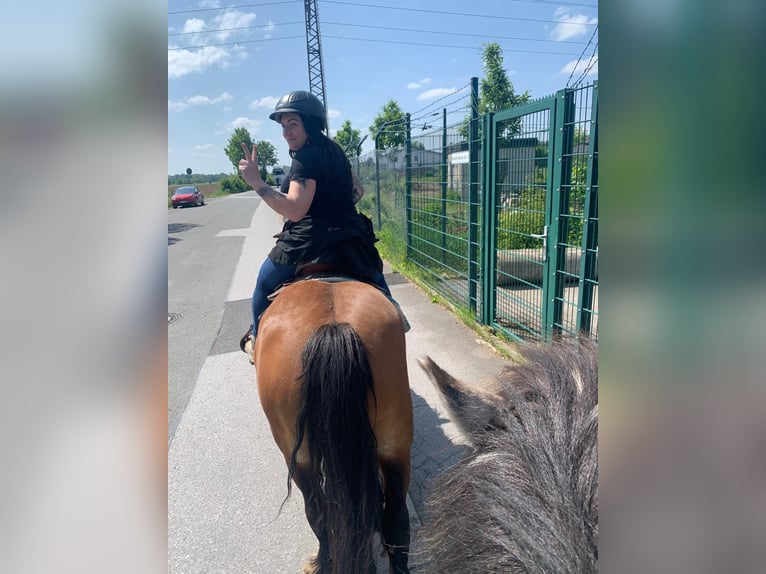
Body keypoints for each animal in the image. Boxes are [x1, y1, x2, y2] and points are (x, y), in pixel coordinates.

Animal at [255, 276, 414, 572]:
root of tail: (334, 328)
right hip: (395, 445)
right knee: (396, 516)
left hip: (297, 455)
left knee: (317, 511)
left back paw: (321, 561)